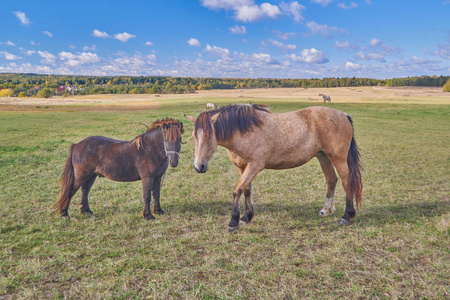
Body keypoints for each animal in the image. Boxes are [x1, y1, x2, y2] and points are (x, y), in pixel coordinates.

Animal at [185, 104, 364, 233]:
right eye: (194, 136)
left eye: (209, 136)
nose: (198, 167)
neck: (244, 131)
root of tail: (343, 115)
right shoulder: (243, 168)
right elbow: (246, 190)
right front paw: (246, 217)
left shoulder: (254, 166)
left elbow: (237, 190)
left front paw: (233, 222)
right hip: (323, 156)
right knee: (331, 180)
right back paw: (326, 210)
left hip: (338, 158)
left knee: (346, 181)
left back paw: (347, 215)